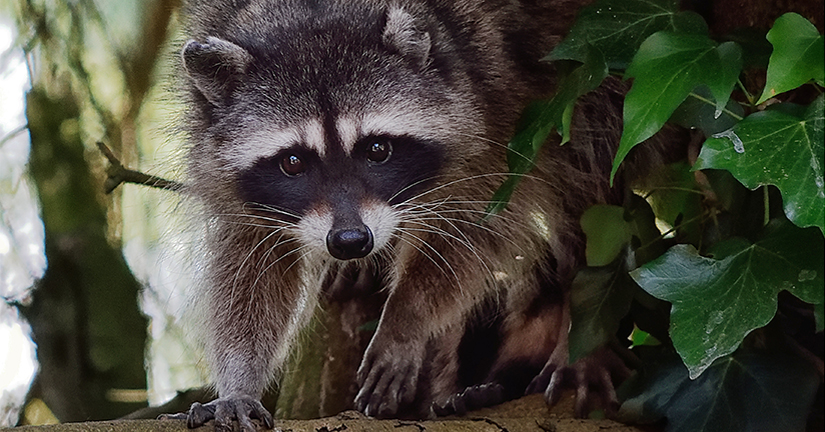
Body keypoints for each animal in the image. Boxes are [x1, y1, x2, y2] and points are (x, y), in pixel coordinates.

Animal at [172, 0, 676, 430]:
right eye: (293, 162)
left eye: (377, 149)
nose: (350, 240)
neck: (312, 13)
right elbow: (252, 262)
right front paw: (240, 379)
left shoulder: (495, 107)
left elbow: (471, 229)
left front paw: (405, 321)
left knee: (592, 177)